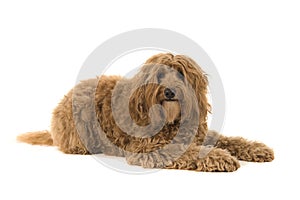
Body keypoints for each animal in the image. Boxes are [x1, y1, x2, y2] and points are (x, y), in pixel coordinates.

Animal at [17, 52, 274, 171]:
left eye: (180, 74)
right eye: (159, 75)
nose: (169, 91)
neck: (171, 121)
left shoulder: (198, 134)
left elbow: (228, 139)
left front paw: (256, 149)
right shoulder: (149, 149)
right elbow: (186, 151)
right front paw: (221, 157)